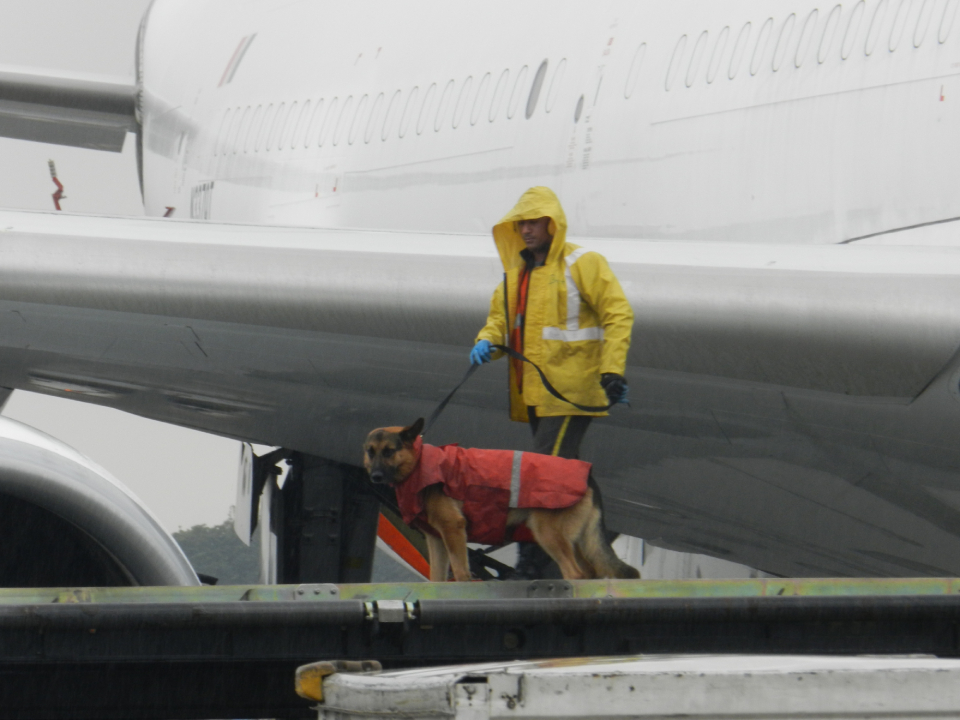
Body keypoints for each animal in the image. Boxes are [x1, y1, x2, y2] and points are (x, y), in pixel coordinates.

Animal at [360, 420, 636, 584]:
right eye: (370, 452)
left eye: (389, 452)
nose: (374, 477)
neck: (420, 465)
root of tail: (589, 475)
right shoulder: (436, 540)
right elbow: (437, 577)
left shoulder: (453, 529)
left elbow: (461, 572)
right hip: (577, 542)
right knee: (590, 573)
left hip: (547, 534)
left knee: (575, 574)